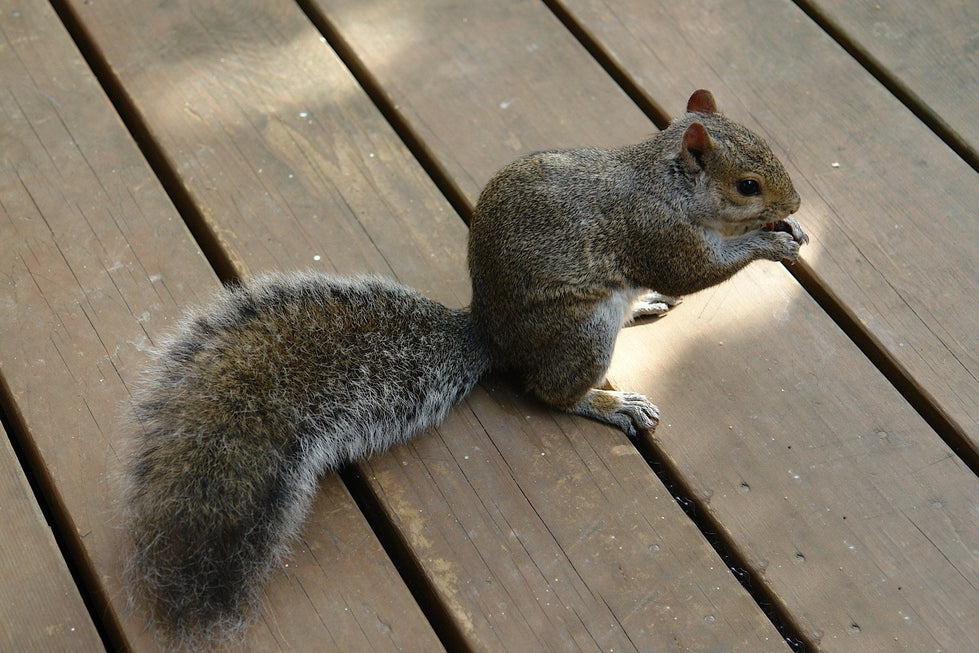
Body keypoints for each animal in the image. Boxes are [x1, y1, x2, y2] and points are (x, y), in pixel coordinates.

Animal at [122, 88, 808, 648]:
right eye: (748, 185)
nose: (797, 202)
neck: (663, 181)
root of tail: (492, 335)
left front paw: (792, 231)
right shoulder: (653, 233)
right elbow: (697, 270)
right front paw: (769, 242)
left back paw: (642, 309)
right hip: (582, 333)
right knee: (551, 391)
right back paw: (610, 402)